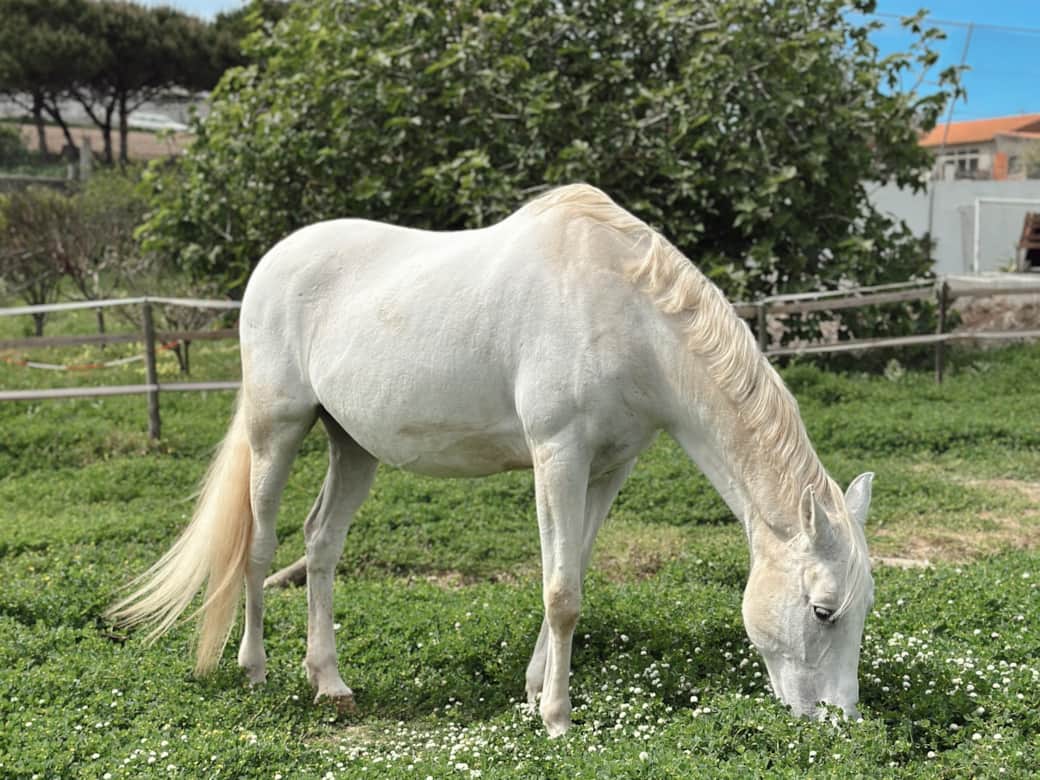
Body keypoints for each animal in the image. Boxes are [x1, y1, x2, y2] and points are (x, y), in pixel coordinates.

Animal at [108, 184, 875, 736]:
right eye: (823, 611)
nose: (839, 722)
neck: (623, 310)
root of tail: (274, 262)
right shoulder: (558, 454)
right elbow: (563, 593)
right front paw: (558, 719)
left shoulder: (609, 468)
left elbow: (569, 572)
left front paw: (536, 691)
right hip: (279, 429)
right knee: (262, 547)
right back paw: (256, 670)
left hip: (352, 445)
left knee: (321, 544)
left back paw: (329, 682)